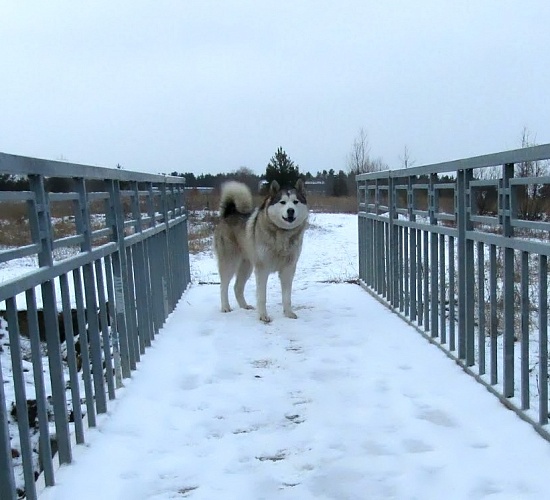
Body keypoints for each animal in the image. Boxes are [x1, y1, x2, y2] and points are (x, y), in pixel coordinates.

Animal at [215, 180, 310, 324]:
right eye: (282, 202)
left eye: (295, 202)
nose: (290, 210)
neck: (283, 234)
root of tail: (229, 213)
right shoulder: (262, 270)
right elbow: (262, 297)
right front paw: (263, 316)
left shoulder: (288, 269)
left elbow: (287, 296)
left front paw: (288, 313)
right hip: (230, 263)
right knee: (223, 286)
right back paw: (225, 307)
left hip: (246, 267)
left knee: (237, 287)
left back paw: (244, 306)